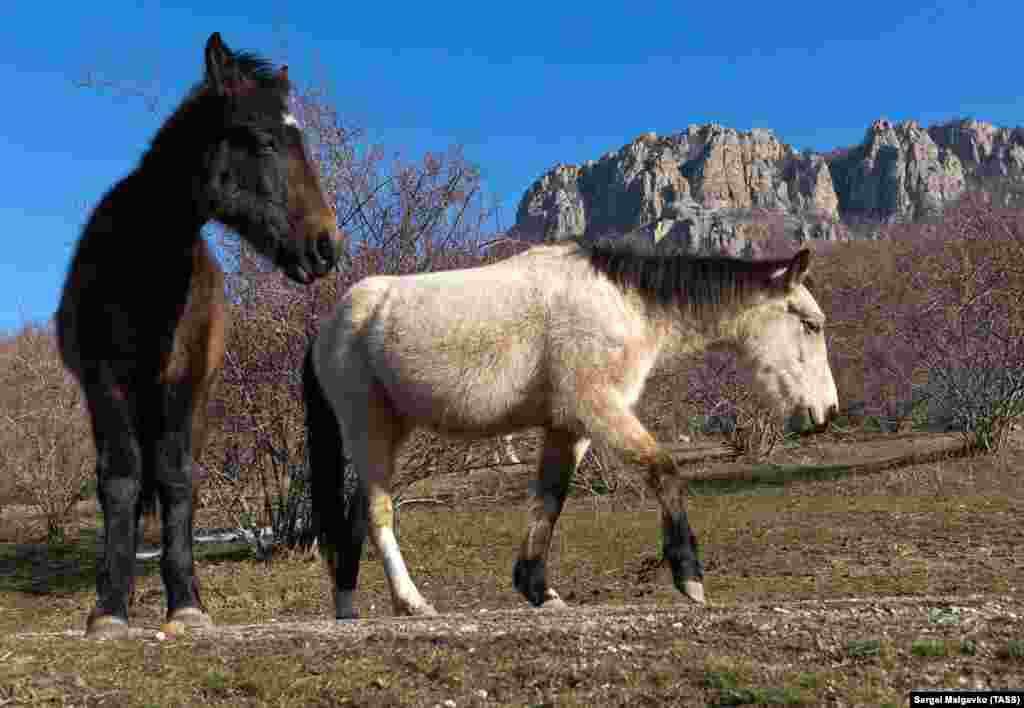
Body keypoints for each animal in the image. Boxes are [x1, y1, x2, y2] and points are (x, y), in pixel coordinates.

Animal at [58, 33, 339, 639]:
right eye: (262, 138)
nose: (326, 246)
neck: (142, 266)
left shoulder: (185, 384)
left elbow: (177, 479)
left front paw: (186, 603)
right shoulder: (106, 385)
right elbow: (121, 482)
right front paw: (109, 609)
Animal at [299, 236, 835, 614]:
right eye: (810, 324)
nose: (827, 412)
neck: (625, 304)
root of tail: (332, 325)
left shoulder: (568, 428)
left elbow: (550, 501)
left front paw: (537, 588)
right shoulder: (600, 410)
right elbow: (663, 471)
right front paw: (690, 577)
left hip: (389, 434)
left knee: (355, 515)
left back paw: (348, 609)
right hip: (369, 429)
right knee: (377, 513)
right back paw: (411, 602)